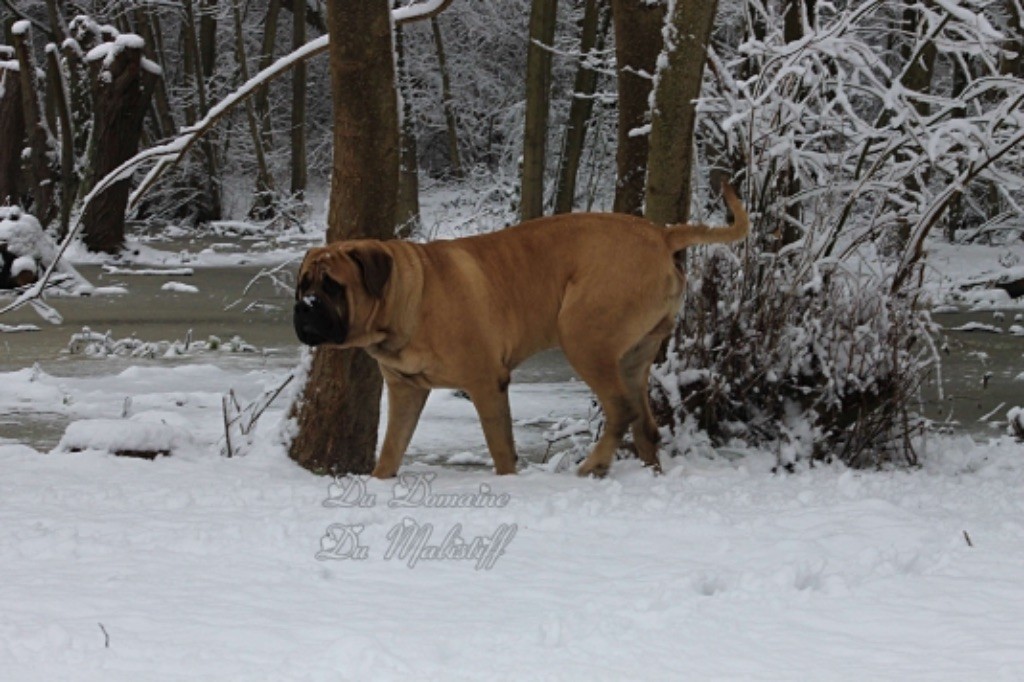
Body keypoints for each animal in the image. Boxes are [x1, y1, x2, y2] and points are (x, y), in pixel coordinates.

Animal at [294, 183, 748, 478]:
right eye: (303, 284)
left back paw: (593, 465)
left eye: (332, 286)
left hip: (583, 335)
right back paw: (649, 472)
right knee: (646, 424)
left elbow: (501, 450)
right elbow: (391, 449)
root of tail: (660, 232)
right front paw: (379, 482)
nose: (304, 308)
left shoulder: (485, 382)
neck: (409, 296)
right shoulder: (406, 389)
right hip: (636, 352)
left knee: (621, 409)